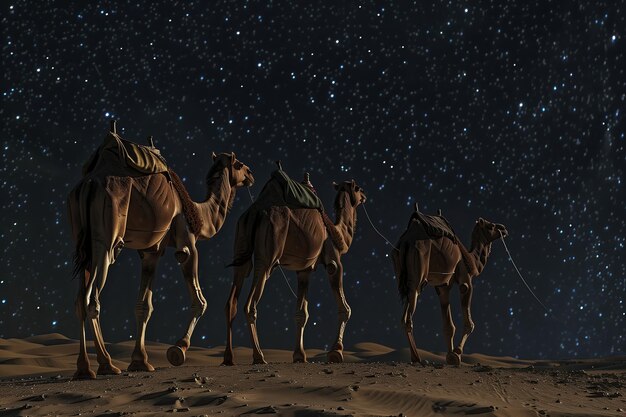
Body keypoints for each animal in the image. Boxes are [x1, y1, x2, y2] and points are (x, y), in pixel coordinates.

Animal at [67, 122, 252, 378]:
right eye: (239, 164)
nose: (251, 174)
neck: (199, 214)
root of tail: (89, 183)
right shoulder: (187, 242)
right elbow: (200, 300)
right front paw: (178, 349)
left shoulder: (151, 251)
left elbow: (143, 306)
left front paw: (140, 361)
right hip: (106, 240)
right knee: (91, 299)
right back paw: (107, 364)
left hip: (81, 242)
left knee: (79, 301)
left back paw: (84, 368)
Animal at [222, 176, 366, 364]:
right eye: (358, 189)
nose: (364, 196)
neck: (338, 232)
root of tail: (255, 212)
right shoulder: (333, 261)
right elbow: (345, 309)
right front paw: (336, 352)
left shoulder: (304, 271)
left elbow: (301, 313)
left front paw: (299, 355)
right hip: (267, 257)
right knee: (250, 305)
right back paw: (259, 356)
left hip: (241, 243)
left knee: (231, 302)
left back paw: (228, 358)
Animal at [390, 204, 508, 364]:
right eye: (491, 226)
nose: (504, 228)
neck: (472, 260)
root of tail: (406, 241)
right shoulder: (465, 280)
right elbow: (469, 323)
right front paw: (457, 353)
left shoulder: (443, 286)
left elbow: (448, 326)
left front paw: (450, 355)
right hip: (417, 273)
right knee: (408, 317)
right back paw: (417, 358)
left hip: (401, 272)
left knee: (404, 317)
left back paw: (416, 357)